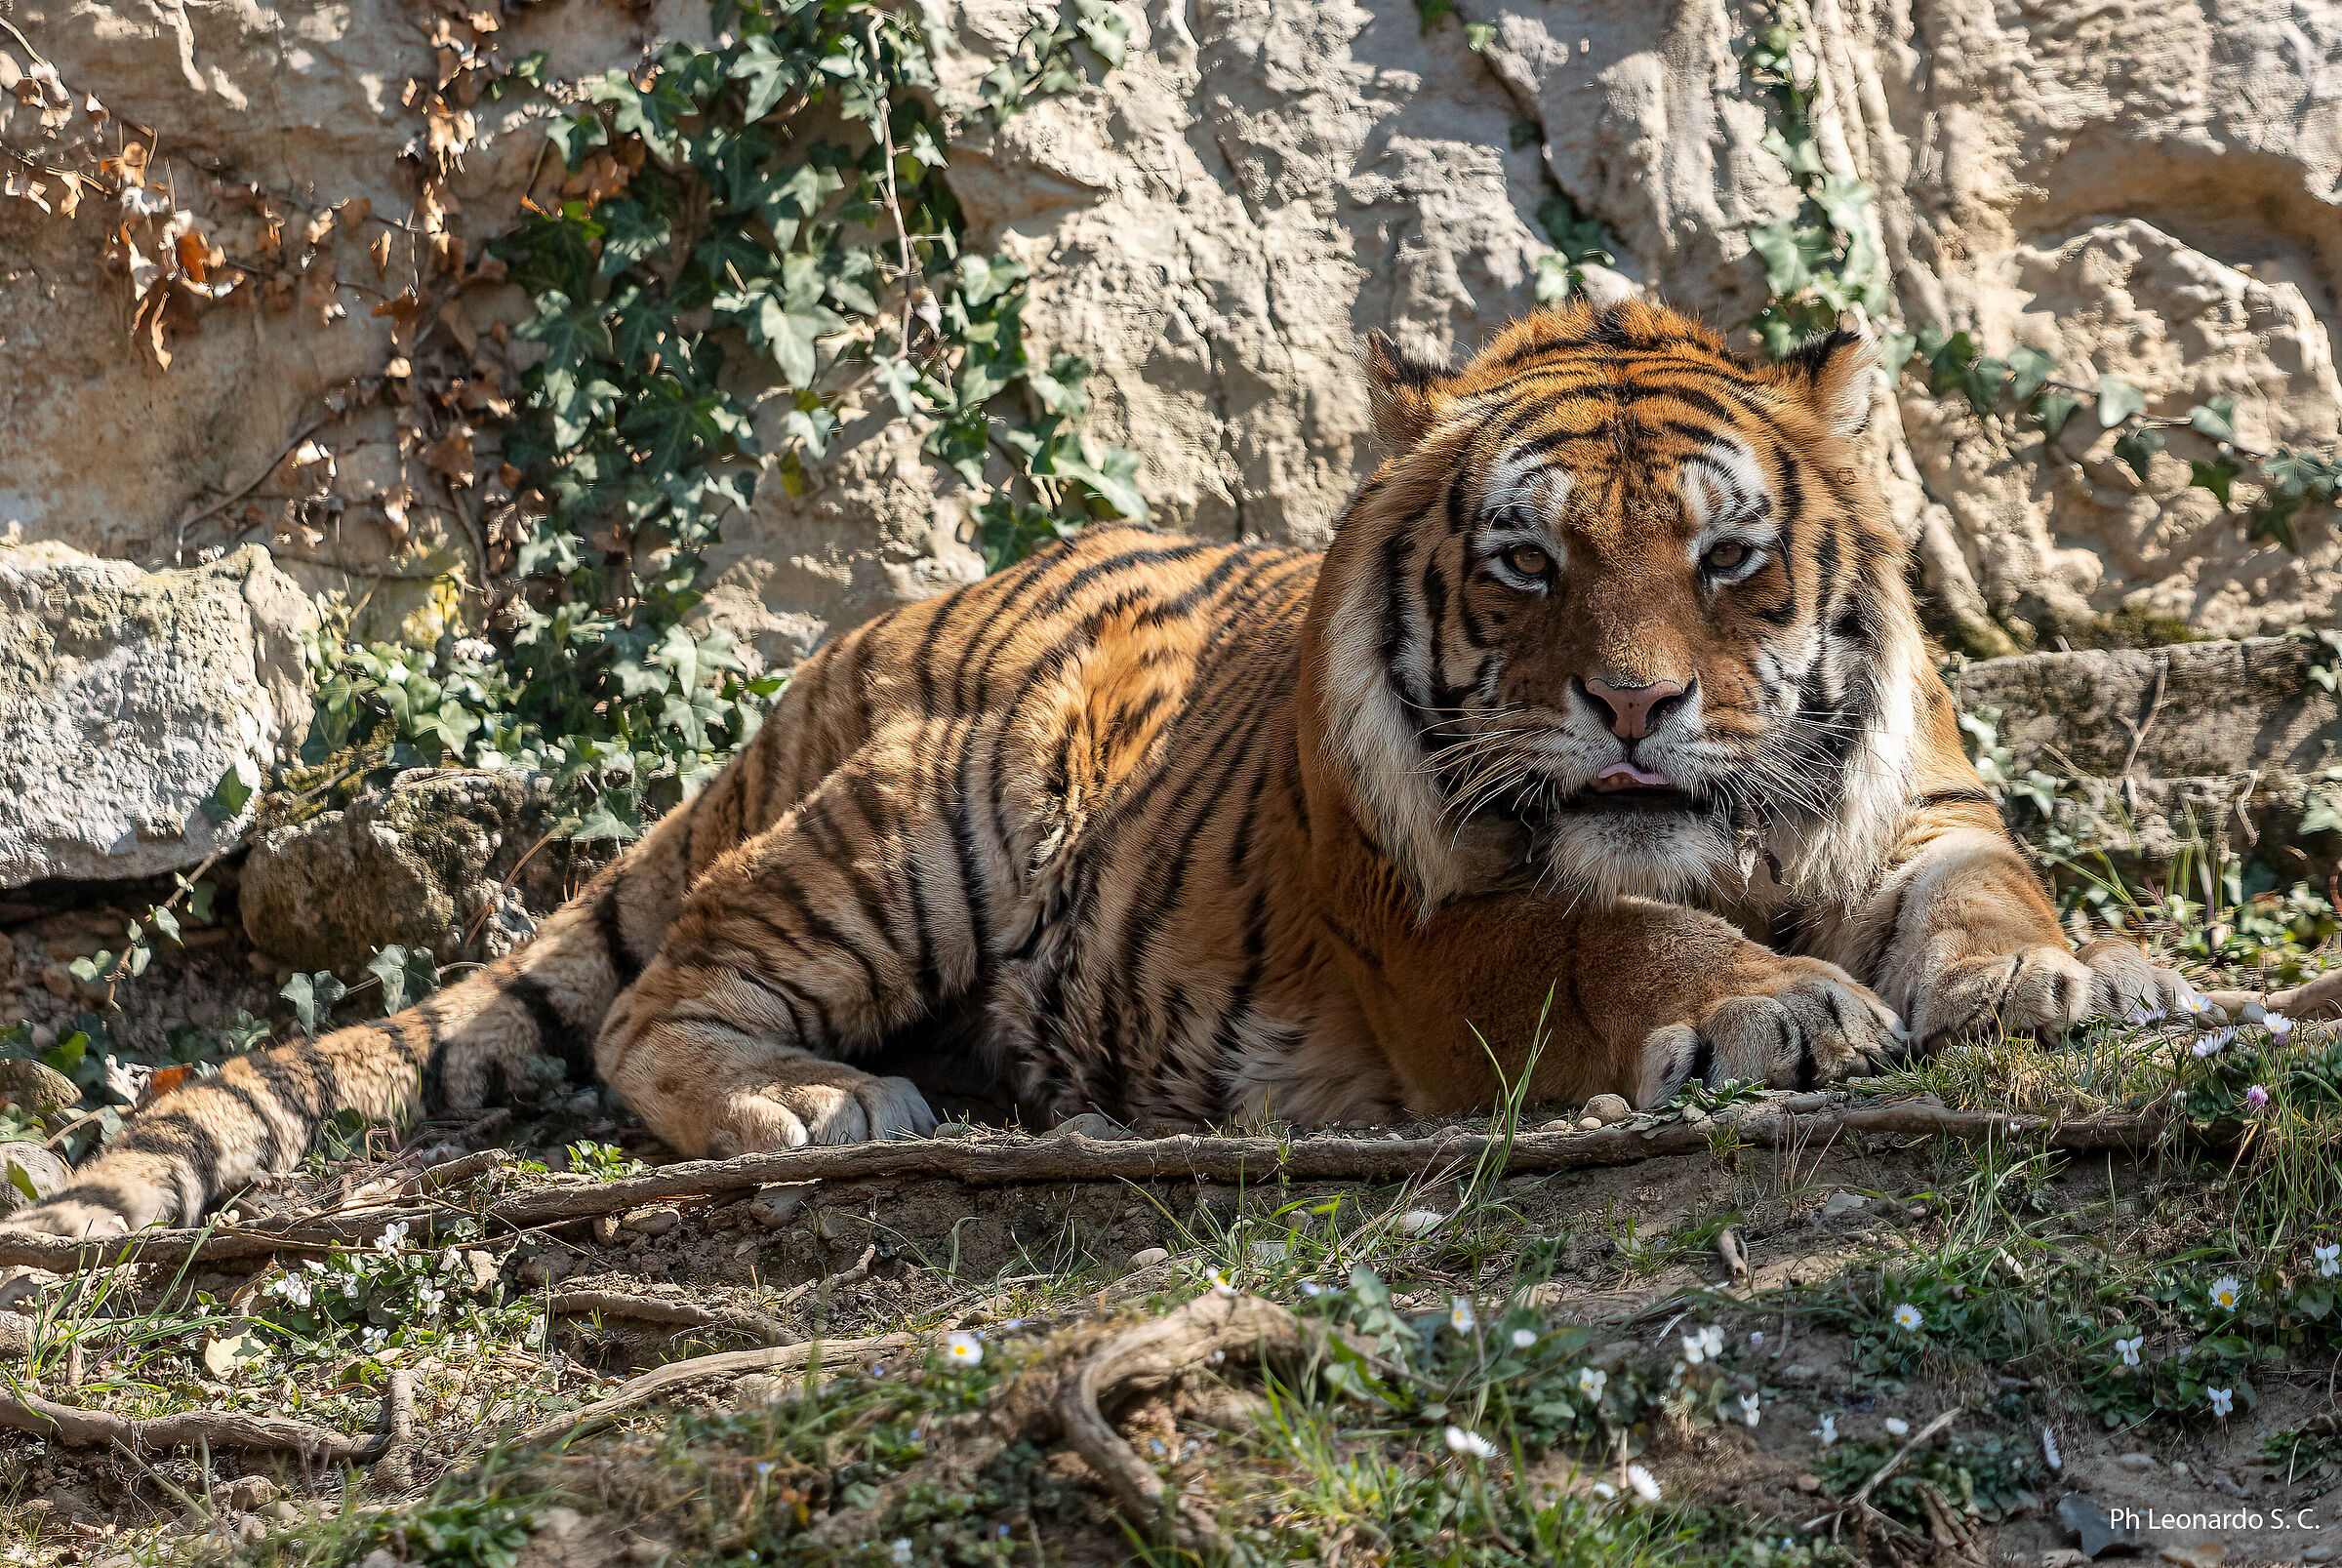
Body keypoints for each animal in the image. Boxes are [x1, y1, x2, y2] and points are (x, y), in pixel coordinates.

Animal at [5, 298, 2203, 1242]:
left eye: (1731, 562)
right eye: (1527, 564)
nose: (1640, 710)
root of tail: (842, 652)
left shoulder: (1924, 806)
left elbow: (1987, 894)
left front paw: (2071, 976)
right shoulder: (1443, 919)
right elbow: (1618, 943)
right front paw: (1769, 1007)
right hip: (944, 813)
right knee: (649, 1003)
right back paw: (829, 1105)